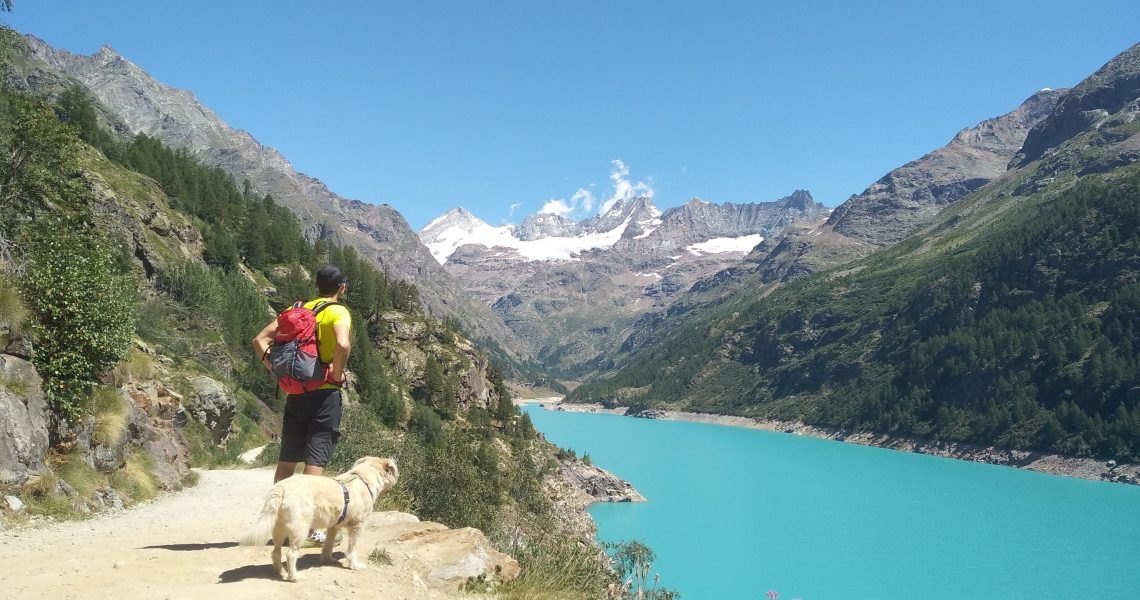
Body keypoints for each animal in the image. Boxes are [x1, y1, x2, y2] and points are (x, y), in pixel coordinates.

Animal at [240, 458, 401, 581]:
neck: (363, 479)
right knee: (290, 554)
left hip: (278, 528)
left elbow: (328, 545)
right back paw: (294, 577)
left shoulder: (333, 526)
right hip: (301, 529)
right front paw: (354, 565)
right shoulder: (357, 526)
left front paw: (327, 560)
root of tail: (280, 487)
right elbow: (352, 549)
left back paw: (280, 571)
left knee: (276, 552)